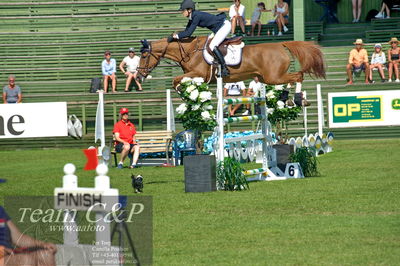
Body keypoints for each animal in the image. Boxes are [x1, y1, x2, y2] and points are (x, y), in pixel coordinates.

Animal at [138, 35, 324, 90]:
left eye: (144, 56)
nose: (139, 75)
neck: (189, 50)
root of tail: (280, 44)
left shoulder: (199, 74)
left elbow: (175, 80)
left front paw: (183, 93)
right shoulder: (194, 76)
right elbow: (178, 80)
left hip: (273, 77)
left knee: (298, 76)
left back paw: (297, 99)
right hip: (265, 78)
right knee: (296, 76)